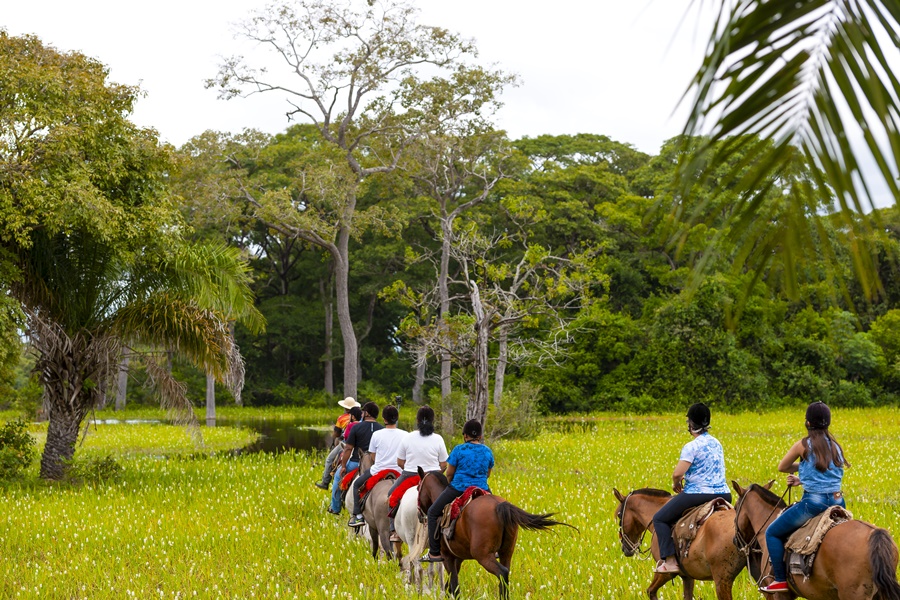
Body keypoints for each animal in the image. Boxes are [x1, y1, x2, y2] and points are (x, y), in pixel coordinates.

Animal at [418, 468, 572, 600]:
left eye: (418, 488)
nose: (420, 514)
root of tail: (499, 505)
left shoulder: (447, 557)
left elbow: (454, 586)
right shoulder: (458, 558)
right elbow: (450, 586)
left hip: (483, 555)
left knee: (502, 572)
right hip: (506, 552)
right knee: (506, 573)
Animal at [612, 488, 744, 600]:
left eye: (619, 515)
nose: (625, 548)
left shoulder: (665, 573)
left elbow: (651, 591)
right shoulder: (688, 576)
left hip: (722, 580)